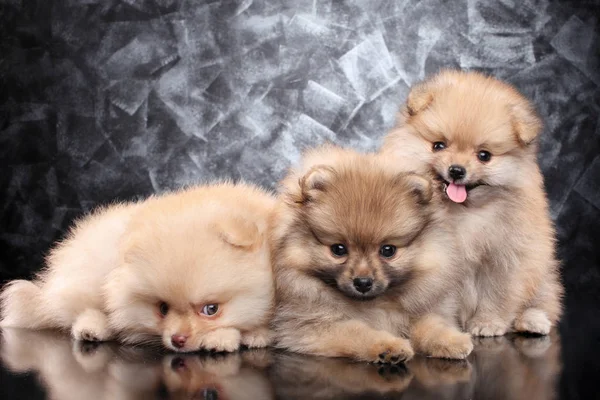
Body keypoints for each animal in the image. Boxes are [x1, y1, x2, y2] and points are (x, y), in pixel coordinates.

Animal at [270, 145, 474, 364]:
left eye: (388, 250)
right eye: (338, 249)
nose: (363, 283)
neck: (374, 304)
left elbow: (431, 324)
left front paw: (452, 340)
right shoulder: (308, 326)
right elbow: (358, 332)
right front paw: (389, 346)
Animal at [384, 70, 564, 336]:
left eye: (484, 156)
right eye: (439, 145)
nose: (457, 170)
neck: (461, 212)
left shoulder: (505, 258)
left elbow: (498, 294)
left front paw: (488, 323)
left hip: (540, 268)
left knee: (544, 300)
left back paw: (532, 320)